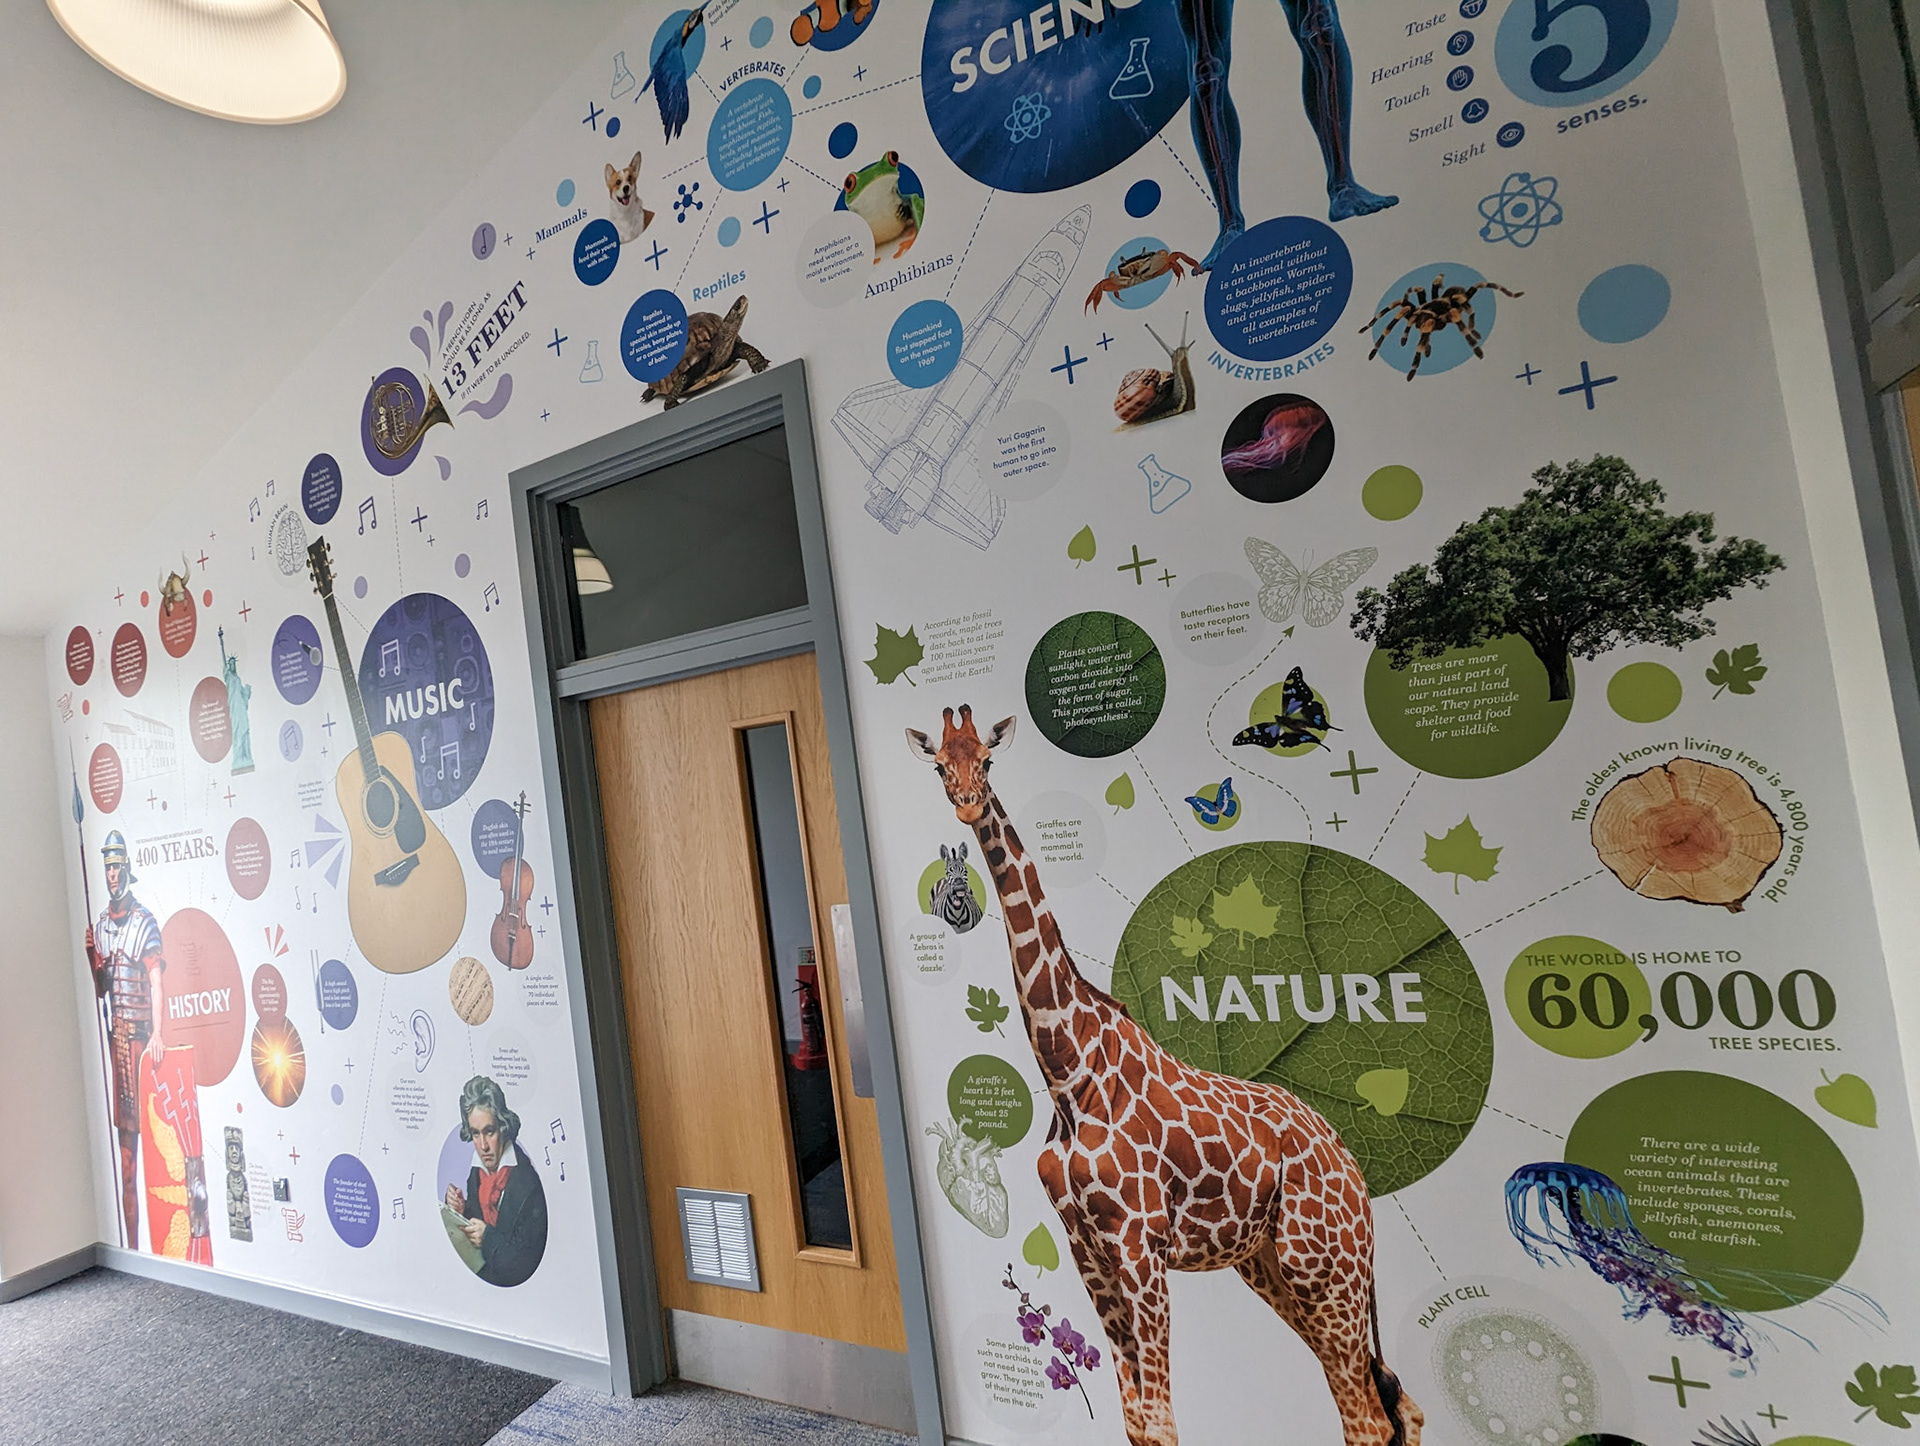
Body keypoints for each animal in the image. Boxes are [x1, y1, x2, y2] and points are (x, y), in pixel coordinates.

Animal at [908, 706, 1420, 1446]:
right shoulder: (1087, 1248)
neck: (1069, 1070)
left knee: (1370, 1419)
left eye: (988, 759)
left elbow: (1161, 1421)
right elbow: (1139, 1421)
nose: (969, 803)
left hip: (1325, 1267)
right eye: (940, 764)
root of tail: (1355, 1170)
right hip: (1272, 1266)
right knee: (1394, 1404)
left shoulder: (1139, 1244)